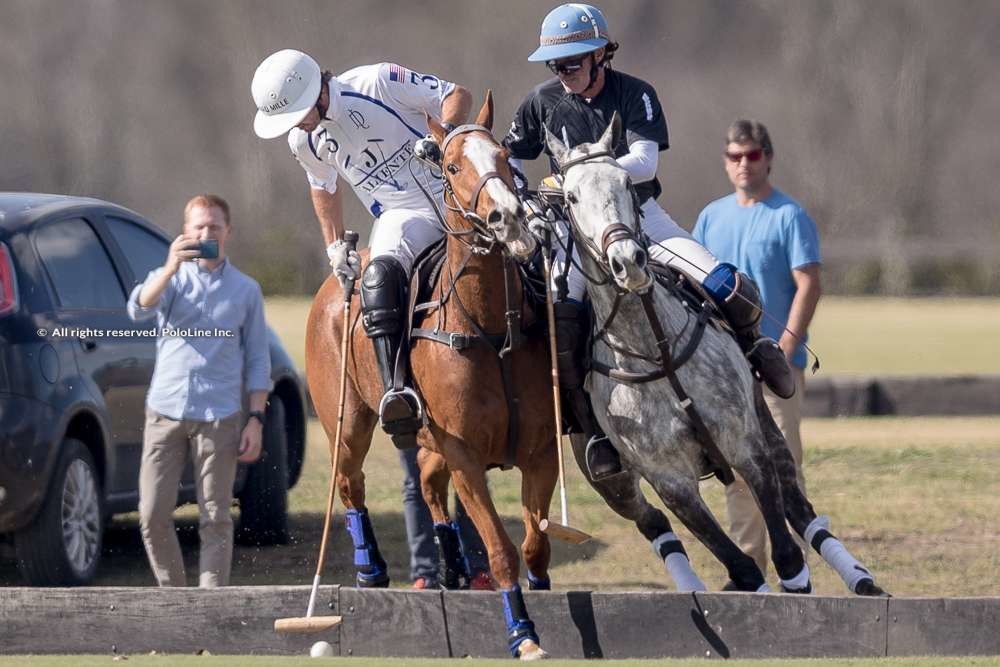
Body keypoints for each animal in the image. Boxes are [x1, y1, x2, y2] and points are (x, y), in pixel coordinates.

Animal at [306, 94, 556, 664]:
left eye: (504, 154)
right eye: (452, 166)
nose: (508, 220)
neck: (488, 326)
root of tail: (333, 289)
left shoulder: (540, 450)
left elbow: (536, 542)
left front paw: (542, 596)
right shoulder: (465, 453)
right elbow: (503, 549)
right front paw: (524, 634)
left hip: (429, 438)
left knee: (425, 478)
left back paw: (454, 567)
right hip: (347, 423)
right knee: (350, 483)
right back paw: (370, 570)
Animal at [548, 116, 892, 600]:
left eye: (628, 186)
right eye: (571, 197)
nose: (628, 261)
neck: (656, 350)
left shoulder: (743, 441)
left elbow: (786, 555)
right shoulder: (670, 481)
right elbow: (742, 565)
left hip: (766, 422)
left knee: (800, 509)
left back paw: (862, 579)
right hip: (609, 479)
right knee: (652, 522)